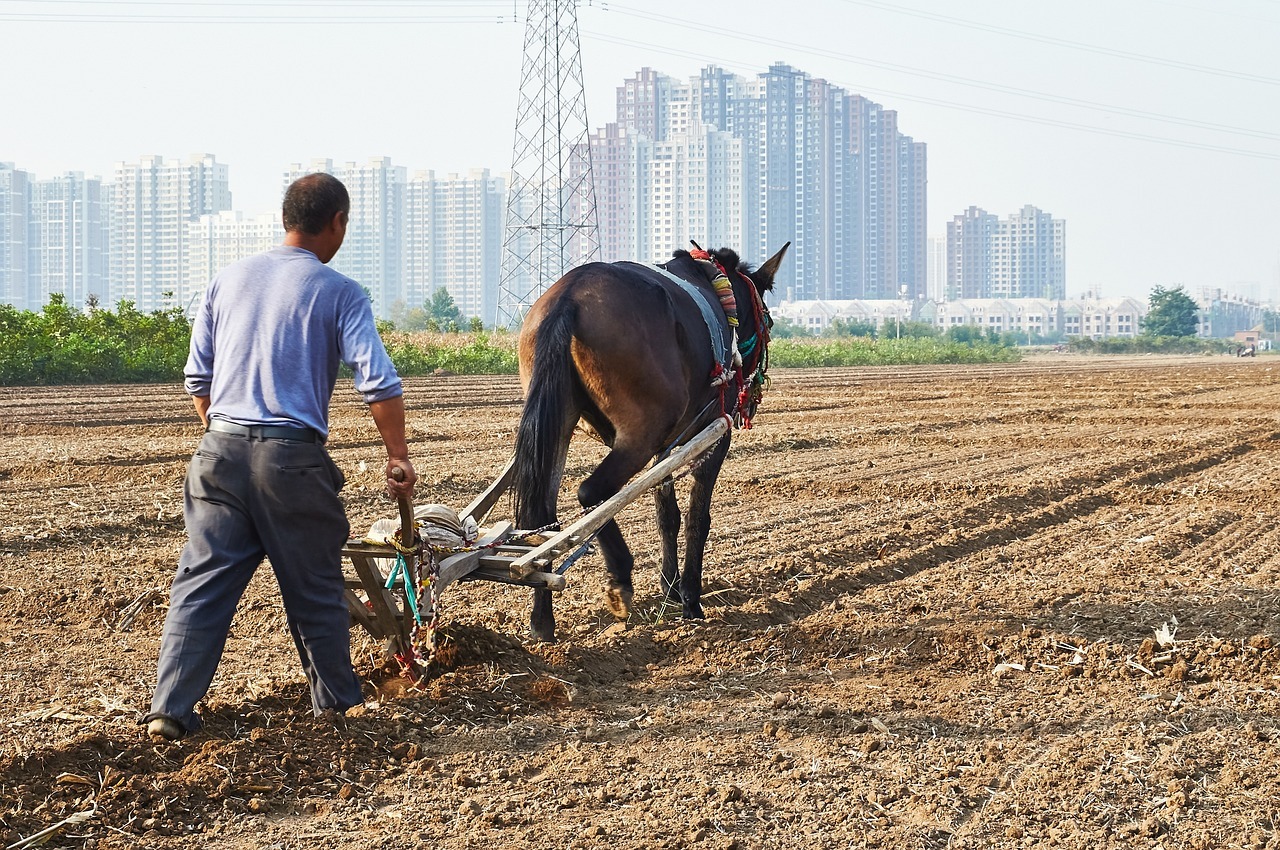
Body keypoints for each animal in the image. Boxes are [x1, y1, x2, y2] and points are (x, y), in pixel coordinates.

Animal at [509, 241, 788, 640]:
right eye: (768, 321)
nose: (751, 399)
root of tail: (569, 296)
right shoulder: (710, 434)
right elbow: (697, 517)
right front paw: (690, 599)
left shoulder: (667, 446)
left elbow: (666, 514)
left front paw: (670, 587)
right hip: (640, 434)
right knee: (592, 493)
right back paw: (620, 576)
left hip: (560, 424)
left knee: (542, 519)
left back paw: (542, 619)